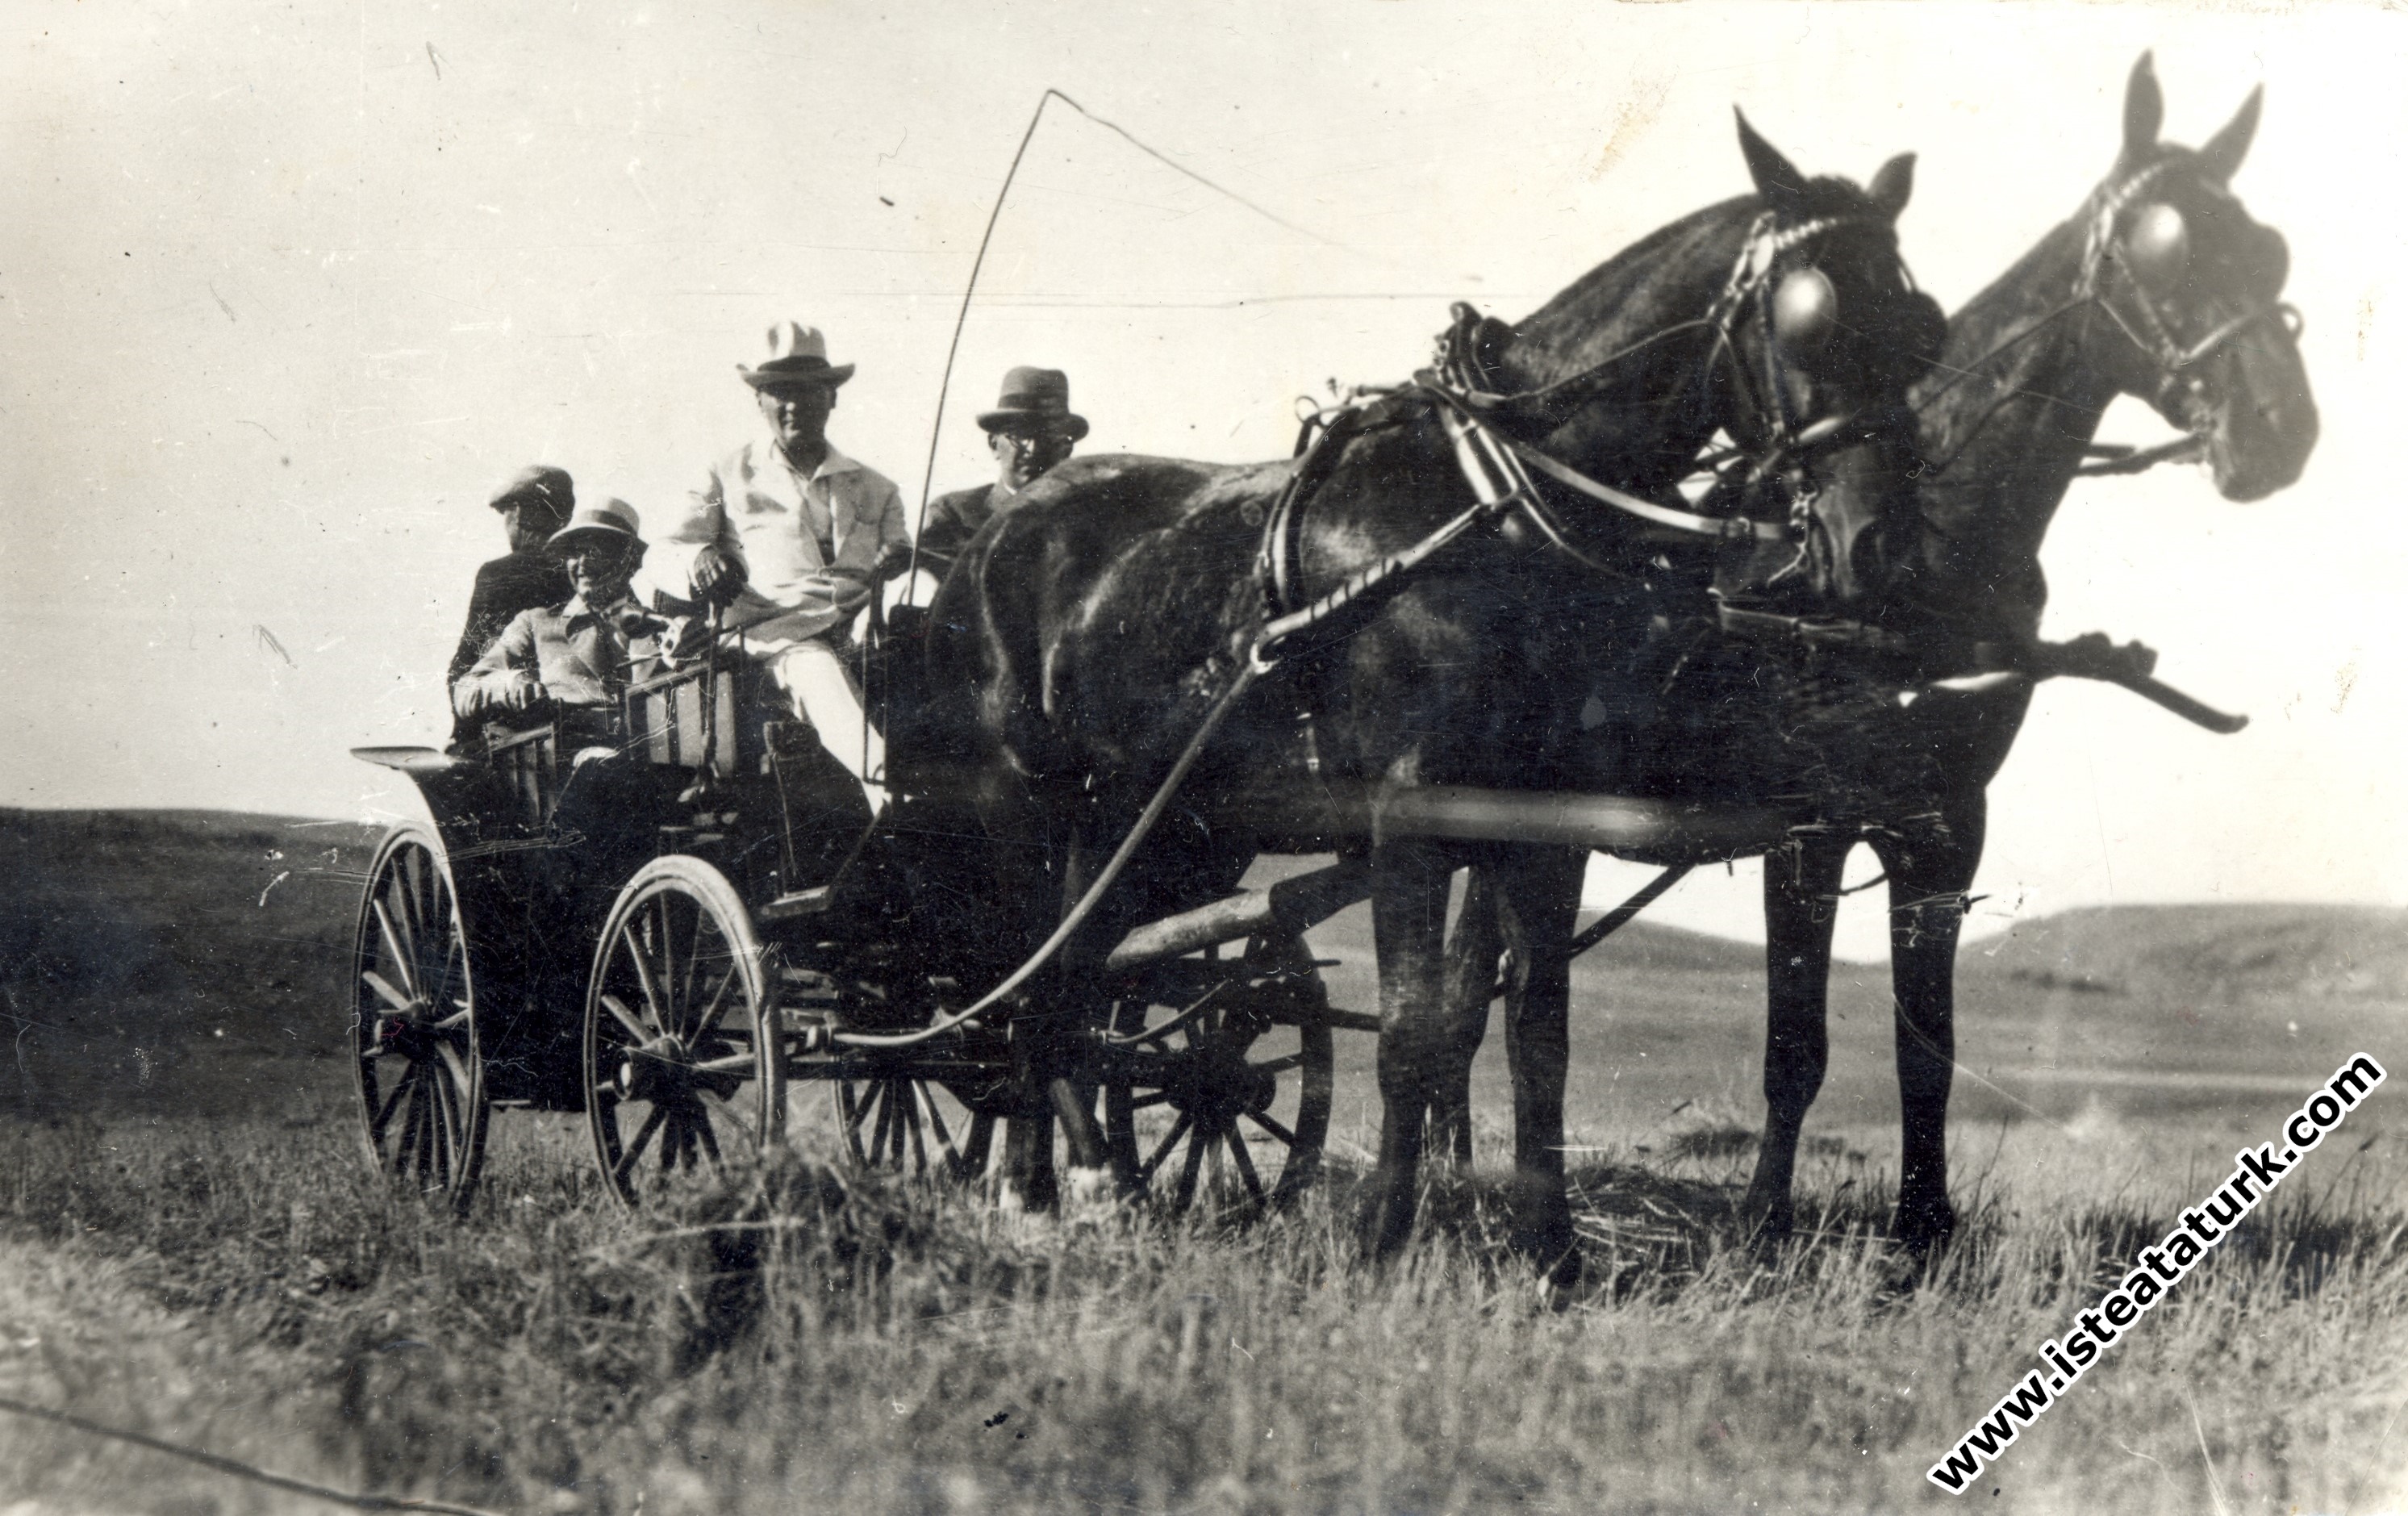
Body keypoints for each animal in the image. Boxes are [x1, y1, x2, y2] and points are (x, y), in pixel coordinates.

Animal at [910, 115, 1945, 1263]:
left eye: (1921, 326)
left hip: (1137, 821)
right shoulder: (1408, 814)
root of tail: (998, 532)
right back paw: (1051, 1185)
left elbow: (1538, 1029)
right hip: (1020, 803)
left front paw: (1552, 1250)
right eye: (1812, 321)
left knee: (1076, 978)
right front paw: (1380, 1237)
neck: (1492, 503)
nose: (1884, 547)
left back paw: (1068, 1180)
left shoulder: (1548, 824)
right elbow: (1412, 1033)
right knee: (1026, 978)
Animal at [1435, 56, 2321, 1253]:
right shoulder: (1809, 826)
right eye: (2168, 249)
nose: (2281, 432)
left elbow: (1927, 1046)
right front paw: (1766, 1221)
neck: (1932, 546)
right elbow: (1795, 1048)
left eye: (2267, 248)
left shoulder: (1944, 821)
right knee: (1461, 985)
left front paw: (1924, 1228)